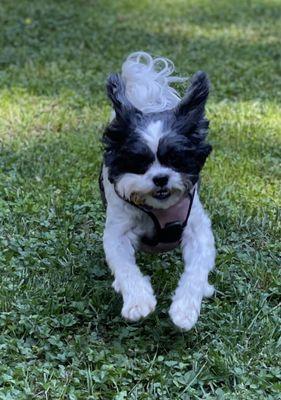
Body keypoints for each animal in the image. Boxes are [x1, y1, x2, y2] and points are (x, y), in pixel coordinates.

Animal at [100, 51, 214, 330]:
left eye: (176, 160)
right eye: (139, 163)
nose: (160, 178)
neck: (159, 209)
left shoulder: (197, 229)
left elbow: (196, 270)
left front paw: (185, 309)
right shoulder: (118, 231)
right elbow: (126, 268)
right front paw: (138, 302)